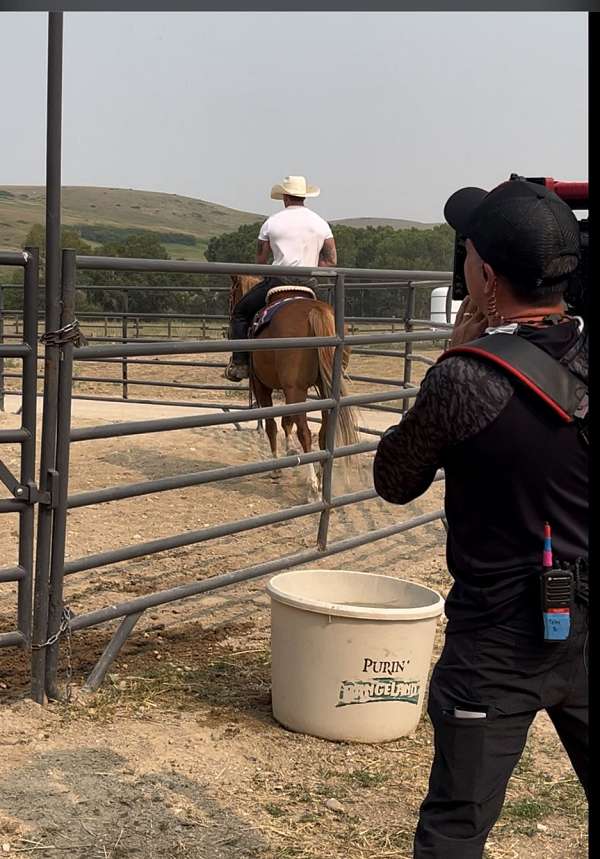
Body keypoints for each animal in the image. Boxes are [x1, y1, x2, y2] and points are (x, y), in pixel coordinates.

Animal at [229, 278, 360, 498]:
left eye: (232, 294)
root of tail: (315, 311)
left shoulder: (261, 385)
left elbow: (272, 425)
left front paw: (276, 469)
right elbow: (286, 421)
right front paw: (290, 451)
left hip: (295, 388)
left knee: (305, 433)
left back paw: (313, 485)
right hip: (323, 389)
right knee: (323, 433)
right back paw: (321, 477)